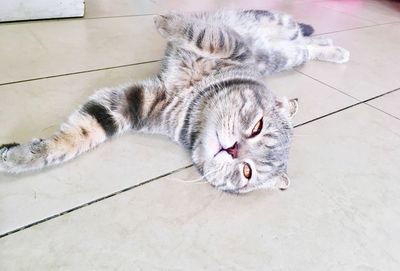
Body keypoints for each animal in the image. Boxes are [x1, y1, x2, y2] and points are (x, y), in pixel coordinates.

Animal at [0, 10, 348, 193]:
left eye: (247, 172)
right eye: (257, 126)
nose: (233, 149)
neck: (196, 101)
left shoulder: (134, 104)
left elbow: (85, 131)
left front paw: (16, 157)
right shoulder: (235, 48)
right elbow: (206, 34)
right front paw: (165, 20)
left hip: (287, 56)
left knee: (308, 47)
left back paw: (337, 50)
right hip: (278, 30)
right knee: (305, 38)